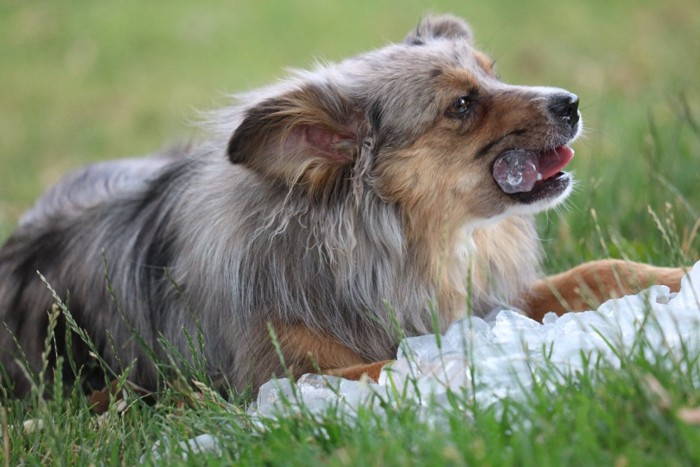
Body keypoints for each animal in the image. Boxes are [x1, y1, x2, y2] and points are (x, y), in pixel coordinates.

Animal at [0, 15, 684, 398]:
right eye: (462, 106)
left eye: (493, 71)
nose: (571, 103)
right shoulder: (285, 375)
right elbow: (396, 366)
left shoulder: (478, 299)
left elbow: (594, 272)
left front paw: (674, 281)